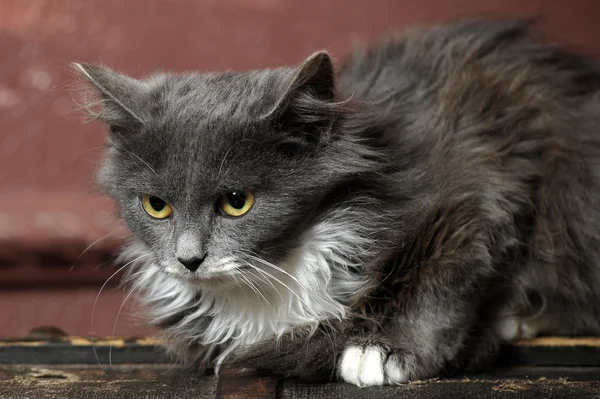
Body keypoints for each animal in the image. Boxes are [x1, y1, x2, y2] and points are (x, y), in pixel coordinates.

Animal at [75, 18, 600, 388]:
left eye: (237, 202)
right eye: (156, 205)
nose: (188, 259)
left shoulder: (481, 188)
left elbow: (442, 280)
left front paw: (384, 351)